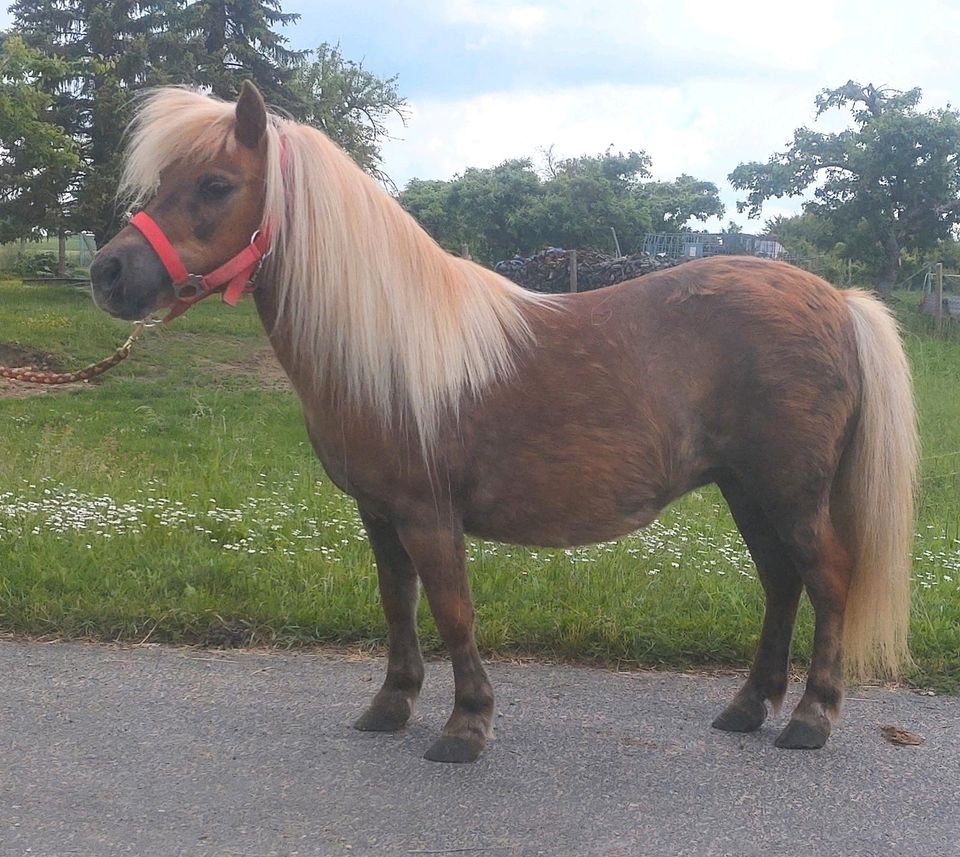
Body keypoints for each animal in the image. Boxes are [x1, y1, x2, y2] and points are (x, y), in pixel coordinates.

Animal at [90, 82, 916, 764]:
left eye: (216, 184)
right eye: (163, 182)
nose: (109, 273)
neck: (391, 347)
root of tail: (838, 300)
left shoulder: (428, 515)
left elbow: (453, 611)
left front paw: (466, 725)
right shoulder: (378, 514)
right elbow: (398, 603)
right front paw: (392, 704)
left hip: (790, 493)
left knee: (828, 580)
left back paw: (810, 717)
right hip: (746, 489)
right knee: (781, 582)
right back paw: (747, 706)